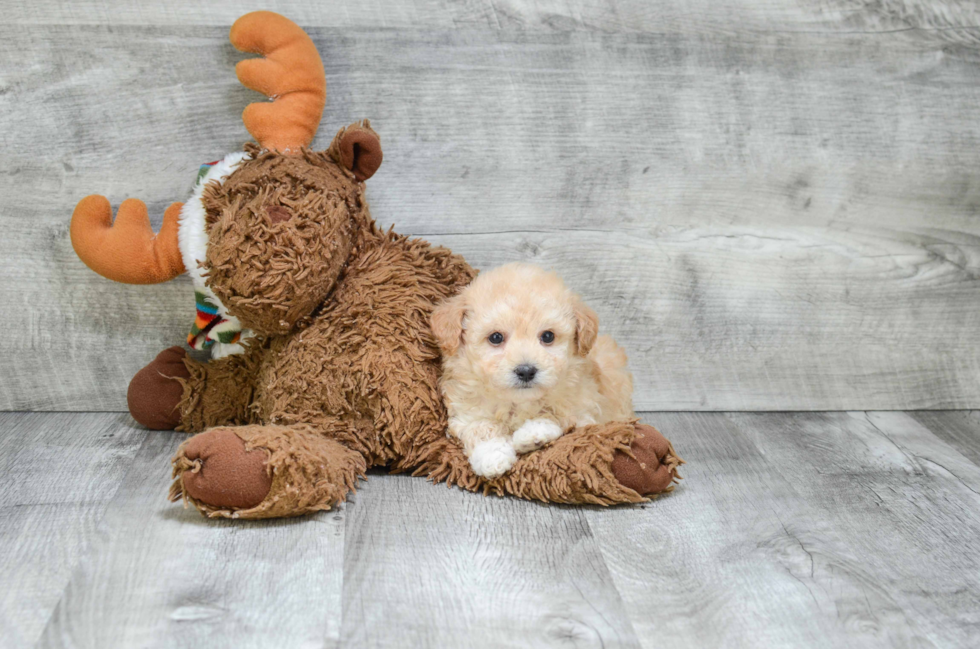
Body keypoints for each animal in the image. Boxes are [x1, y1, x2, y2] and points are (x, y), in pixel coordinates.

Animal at [430, 260, 636, 478]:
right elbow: (480, 426)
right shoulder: (465, 412)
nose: (526, 371)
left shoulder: (586, 411)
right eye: (496, 337)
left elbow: (557, 416)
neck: (518, 402)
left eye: (548, 336)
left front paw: (532, 434)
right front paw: (492, 455)